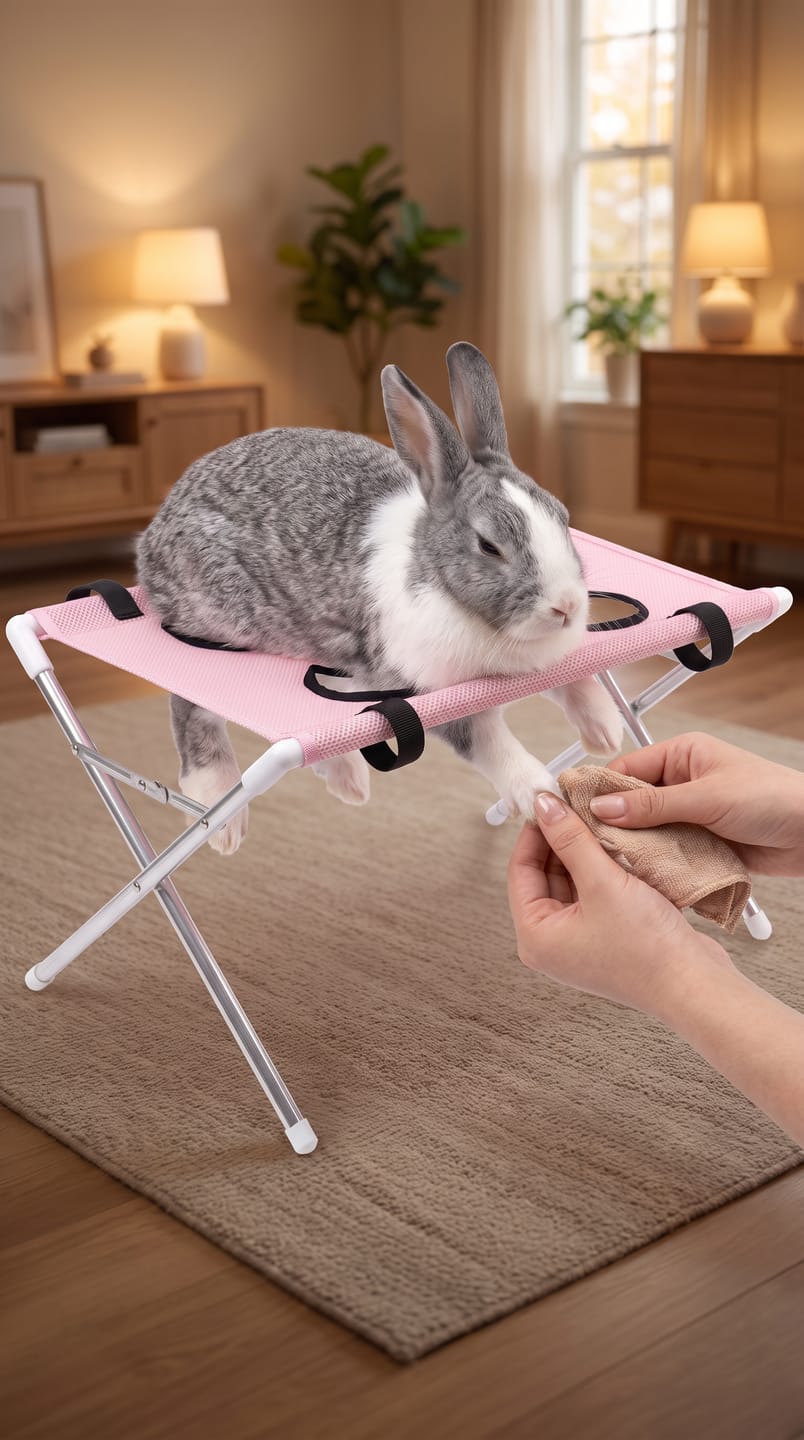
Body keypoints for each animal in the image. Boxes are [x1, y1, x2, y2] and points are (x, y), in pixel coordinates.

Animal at [137, 342, 623, 854]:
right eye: (489, 546)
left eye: (563, 517)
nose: (566, 606)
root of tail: (154, 533)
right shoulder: (425, 692)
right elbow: (490, 742)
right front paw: (538, 791)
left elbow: (572, 682)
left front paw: (606, 730)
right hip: (219, 629)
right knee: (190, 708)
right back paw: (224, 813)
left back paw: (347, 778)